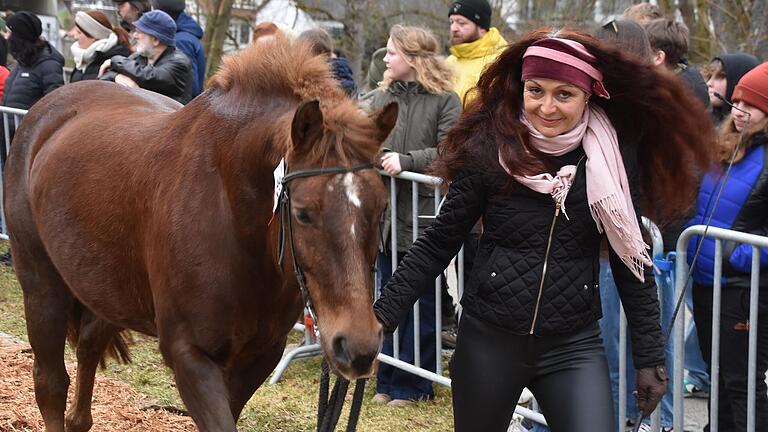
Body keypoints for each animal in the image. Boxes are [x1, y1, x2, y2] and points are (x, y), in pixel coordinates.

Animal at [6, 38, 400, 430]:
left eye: (382, 208)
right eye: (303, 213)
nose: (358, 346)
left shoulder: (262, 353)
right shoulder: (190, 355)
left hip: (106, 286)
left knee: (88, 347)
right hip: (43, 284)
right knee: (51, 382)